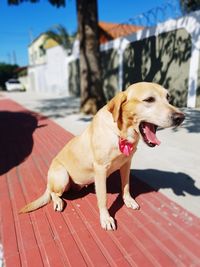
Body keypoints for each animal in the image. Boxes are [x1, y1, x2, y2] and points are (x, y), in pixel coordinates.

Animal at [19, 82, 184, 231]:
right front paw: (106, 218)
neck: (120, 132)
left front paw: (128, 201)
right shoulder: (100, 169)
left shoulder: (126, 164)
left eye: (168, 98)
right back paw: (58, 201)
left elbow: (126, 186)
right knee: (53, 193)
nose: (180, 117)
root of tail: (48, 181)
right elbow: (103, 198)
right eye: (149, 99)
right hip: (62, 176)